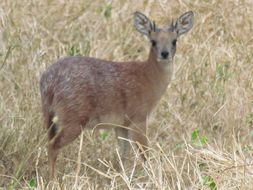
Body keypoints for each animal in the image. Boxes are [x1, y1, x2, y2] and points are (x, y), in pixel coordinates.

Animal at [39, 10, 194, 180]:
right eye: (153, 41)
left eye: (174, 41)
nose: (165, 54)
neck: (148, 79)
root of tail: (48, 82)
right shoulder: (138, 117)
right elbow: (144, 152)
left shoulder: (121, 124)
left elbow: (123, 154)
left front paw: (122, 177)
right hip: (73, 118)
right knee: (52, 146)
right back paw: (53, 180)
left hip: (51, 116)